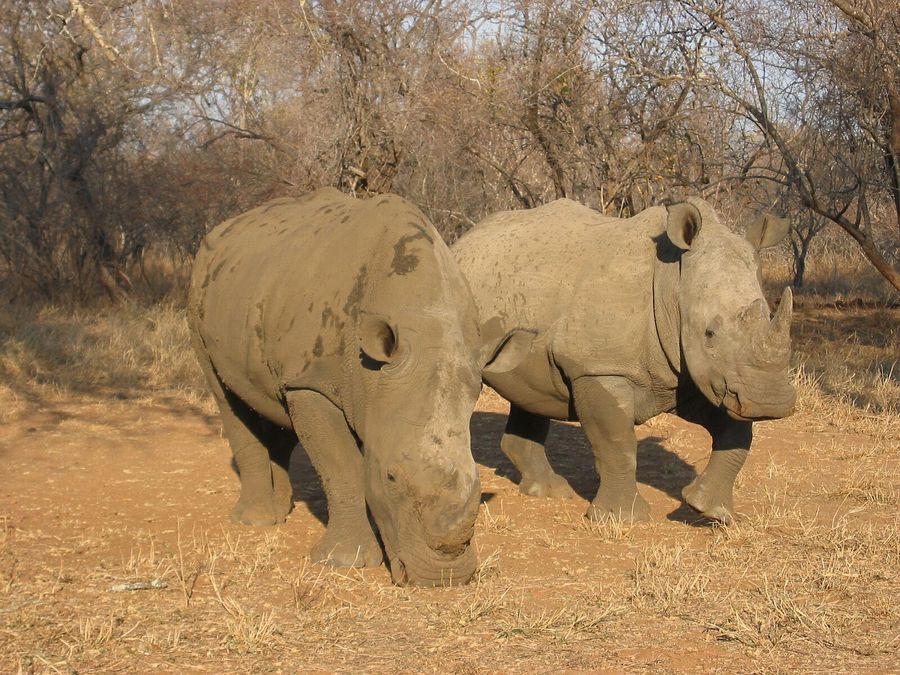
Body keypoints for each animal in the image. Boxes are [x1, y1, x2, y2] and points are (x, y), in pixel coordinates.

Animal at [187, 187, 532, 584]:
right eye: (391, 477)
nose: (443, 577)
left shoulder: (345, 385)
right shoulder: (313, 384)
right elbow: (342, 469)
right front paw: (346, 561)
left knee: (274, 401)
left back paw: (283, 508)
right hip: (199, 291)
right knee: (226, 397)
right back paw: (256, 522)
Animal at [454, 195, 800, 524]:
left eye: (769, 316)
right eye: (709, 333)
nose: (770, 403)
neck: (672, 282)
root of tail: (465, 241)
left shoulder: (703, 375)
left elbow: (738, 432)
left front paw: (708, 509)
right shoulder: (598, 368)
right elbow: (617, 442)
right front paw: (622, 518)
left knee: (531, 390)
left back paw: (550, 491)